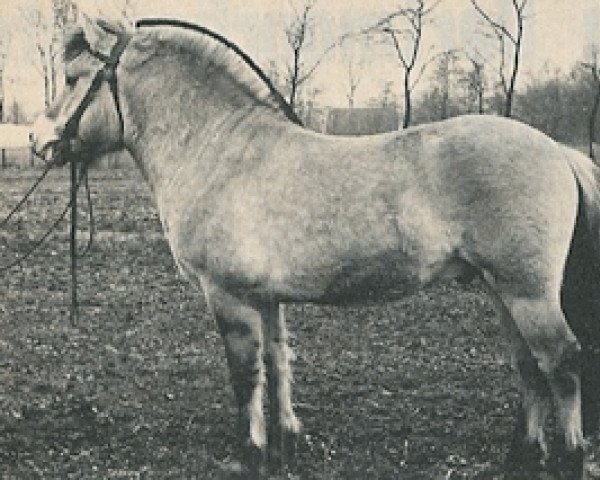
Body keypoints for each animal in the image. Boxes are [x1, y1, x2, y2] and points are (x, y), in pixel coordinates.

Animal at [30, 16, 600, 478]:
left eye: (74, 78)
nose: (38, 140)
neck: (218, 150)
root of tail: (557, 150)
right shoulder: (265, 298)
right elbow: (279, 362)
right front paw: (287, 441)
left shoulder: (228, 296)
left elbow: (245, 374)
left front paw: (252, 454)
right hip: (501, 291)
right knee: (528, 366)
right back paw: (523, 456)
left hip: (527, 292)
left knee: (561, 362)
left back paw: (570, 458)